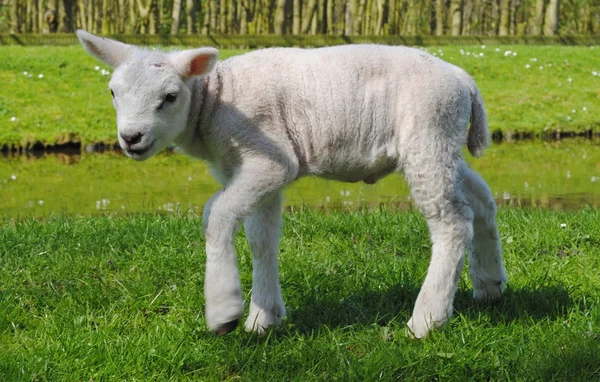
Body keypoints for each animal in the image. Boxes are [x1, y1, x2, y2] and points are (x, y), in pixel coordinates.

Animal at [75, 30, 506, 340]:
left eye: (170, 96)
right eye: (112, 92)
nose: (131, 138)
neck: (214, 101)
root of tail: (463, 78)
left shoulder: (271, 160)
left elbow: (217, 213)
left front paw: (225, 312)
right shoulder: (247, 170)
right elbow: (261, 238)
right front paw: (263, 318)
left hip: (428, 132)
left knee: (452, 222)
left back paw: (428, 319)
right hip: (439, 143)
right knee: (482, 200)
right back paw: (490, 284)